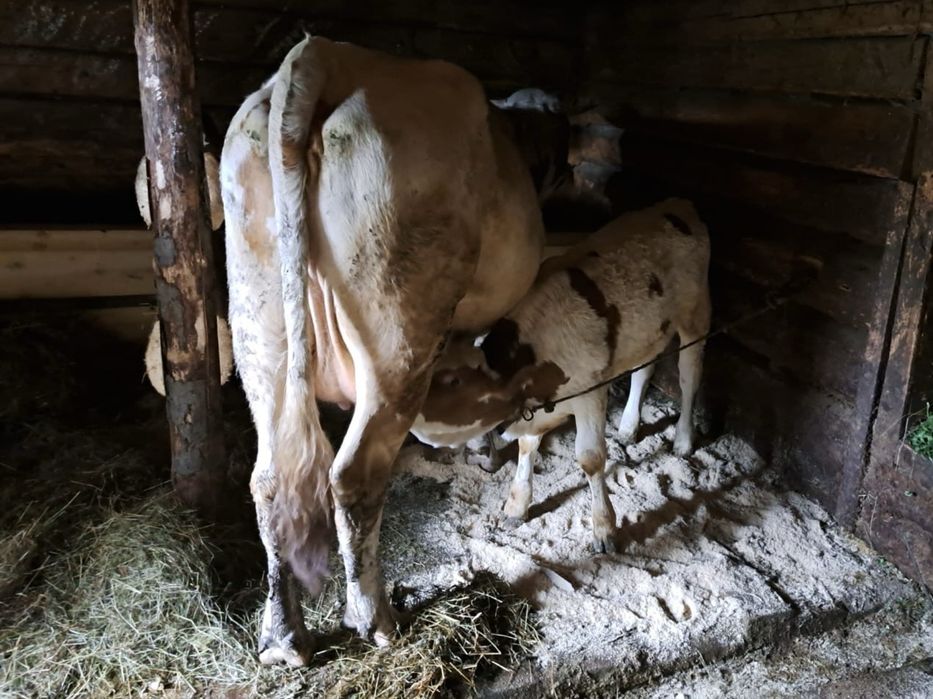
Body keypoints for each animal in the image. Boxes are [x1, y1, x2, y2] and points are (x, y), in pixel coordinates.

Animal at [196, 36, 570, 665]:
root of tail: (326, 54)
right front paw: (485, 446)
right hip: (398, 335)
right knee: (352, 476)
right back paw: (374, 619)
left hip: (257, 322)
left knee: (270, 480)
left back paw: (283, 639)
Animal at [411, 198, 712, 554]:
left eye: (454, 381)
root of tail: (678, 204)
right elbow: (527, 446)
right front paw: (517, 505)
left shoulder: (590, 392)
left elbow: (591, 458)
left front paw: (604, 528)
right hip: (645, 331)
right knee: (643, 370)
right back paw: (628, 426)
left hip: (696, 315)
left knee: (690, 377)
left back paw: (683, 439)